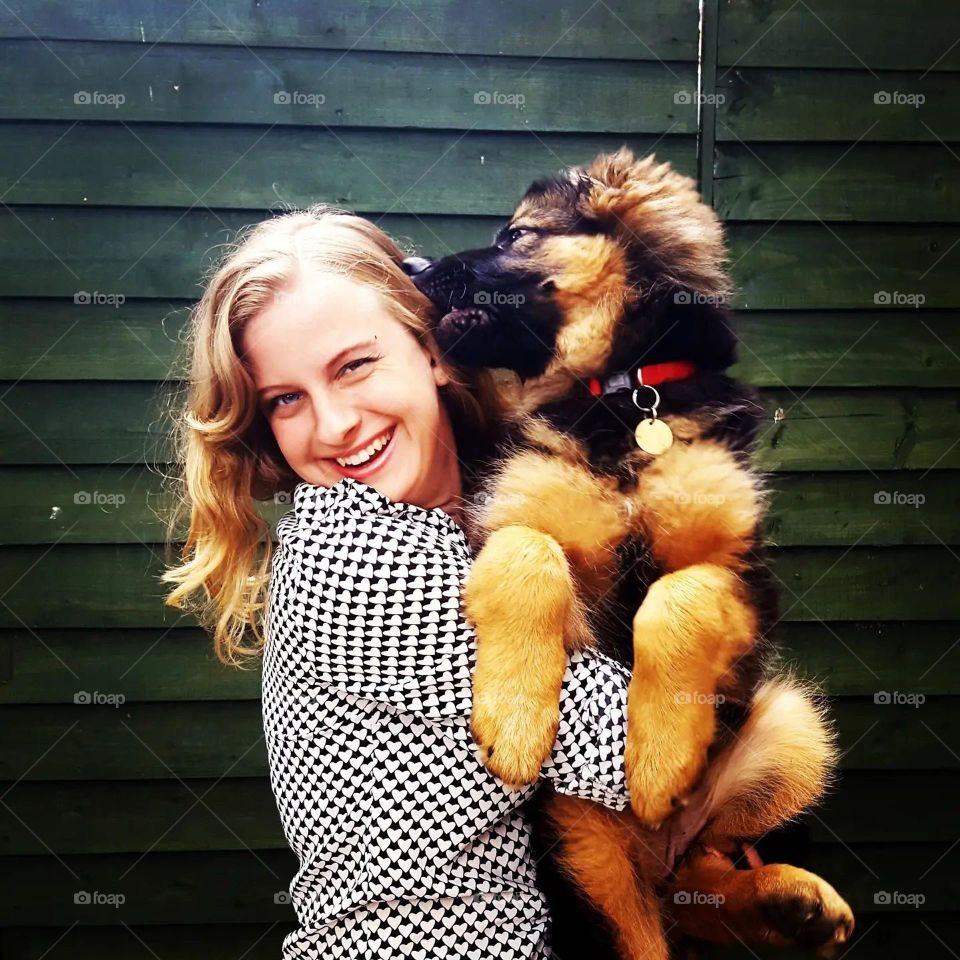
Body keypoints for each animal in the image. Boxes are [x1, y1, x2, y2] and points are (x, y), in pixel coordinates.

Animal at [404, 146, 856, 956]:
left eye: (517, 235)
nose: (411, 264)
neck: (619, 395)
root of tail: (654, 853)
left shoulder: (741, 570)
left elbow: (682, 595)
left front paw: (660, 754)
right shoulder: (507, 517)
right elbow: (527, 551)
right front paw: (514, 721)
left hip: (795, 731)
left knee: (705, 866)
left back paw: (789, 899)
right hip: (588, 852)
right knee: (658, 915)